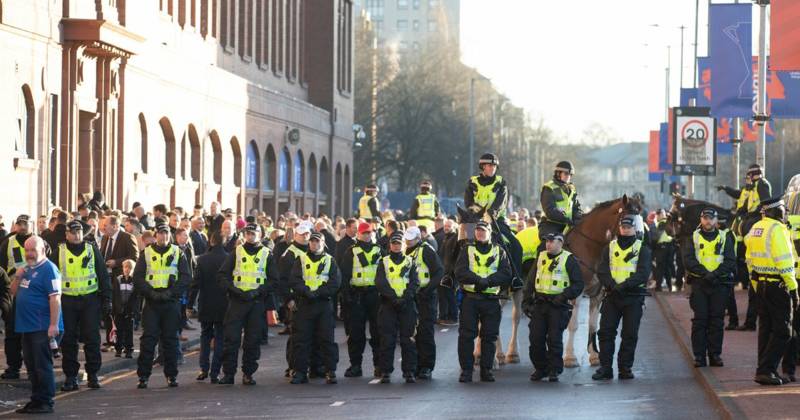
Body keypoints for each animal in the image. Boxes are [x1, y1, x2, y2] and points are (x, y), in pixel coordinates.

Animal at [564, 195, 644, 366]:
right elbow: (573, 324)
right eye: (628, 219)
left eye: (640, 213)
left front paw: (594, 355)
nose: (639, 237)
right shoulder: (577, 294)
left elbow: (593, 324)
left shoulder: (598, 294)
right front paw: (570, 357)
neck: (590, 247)